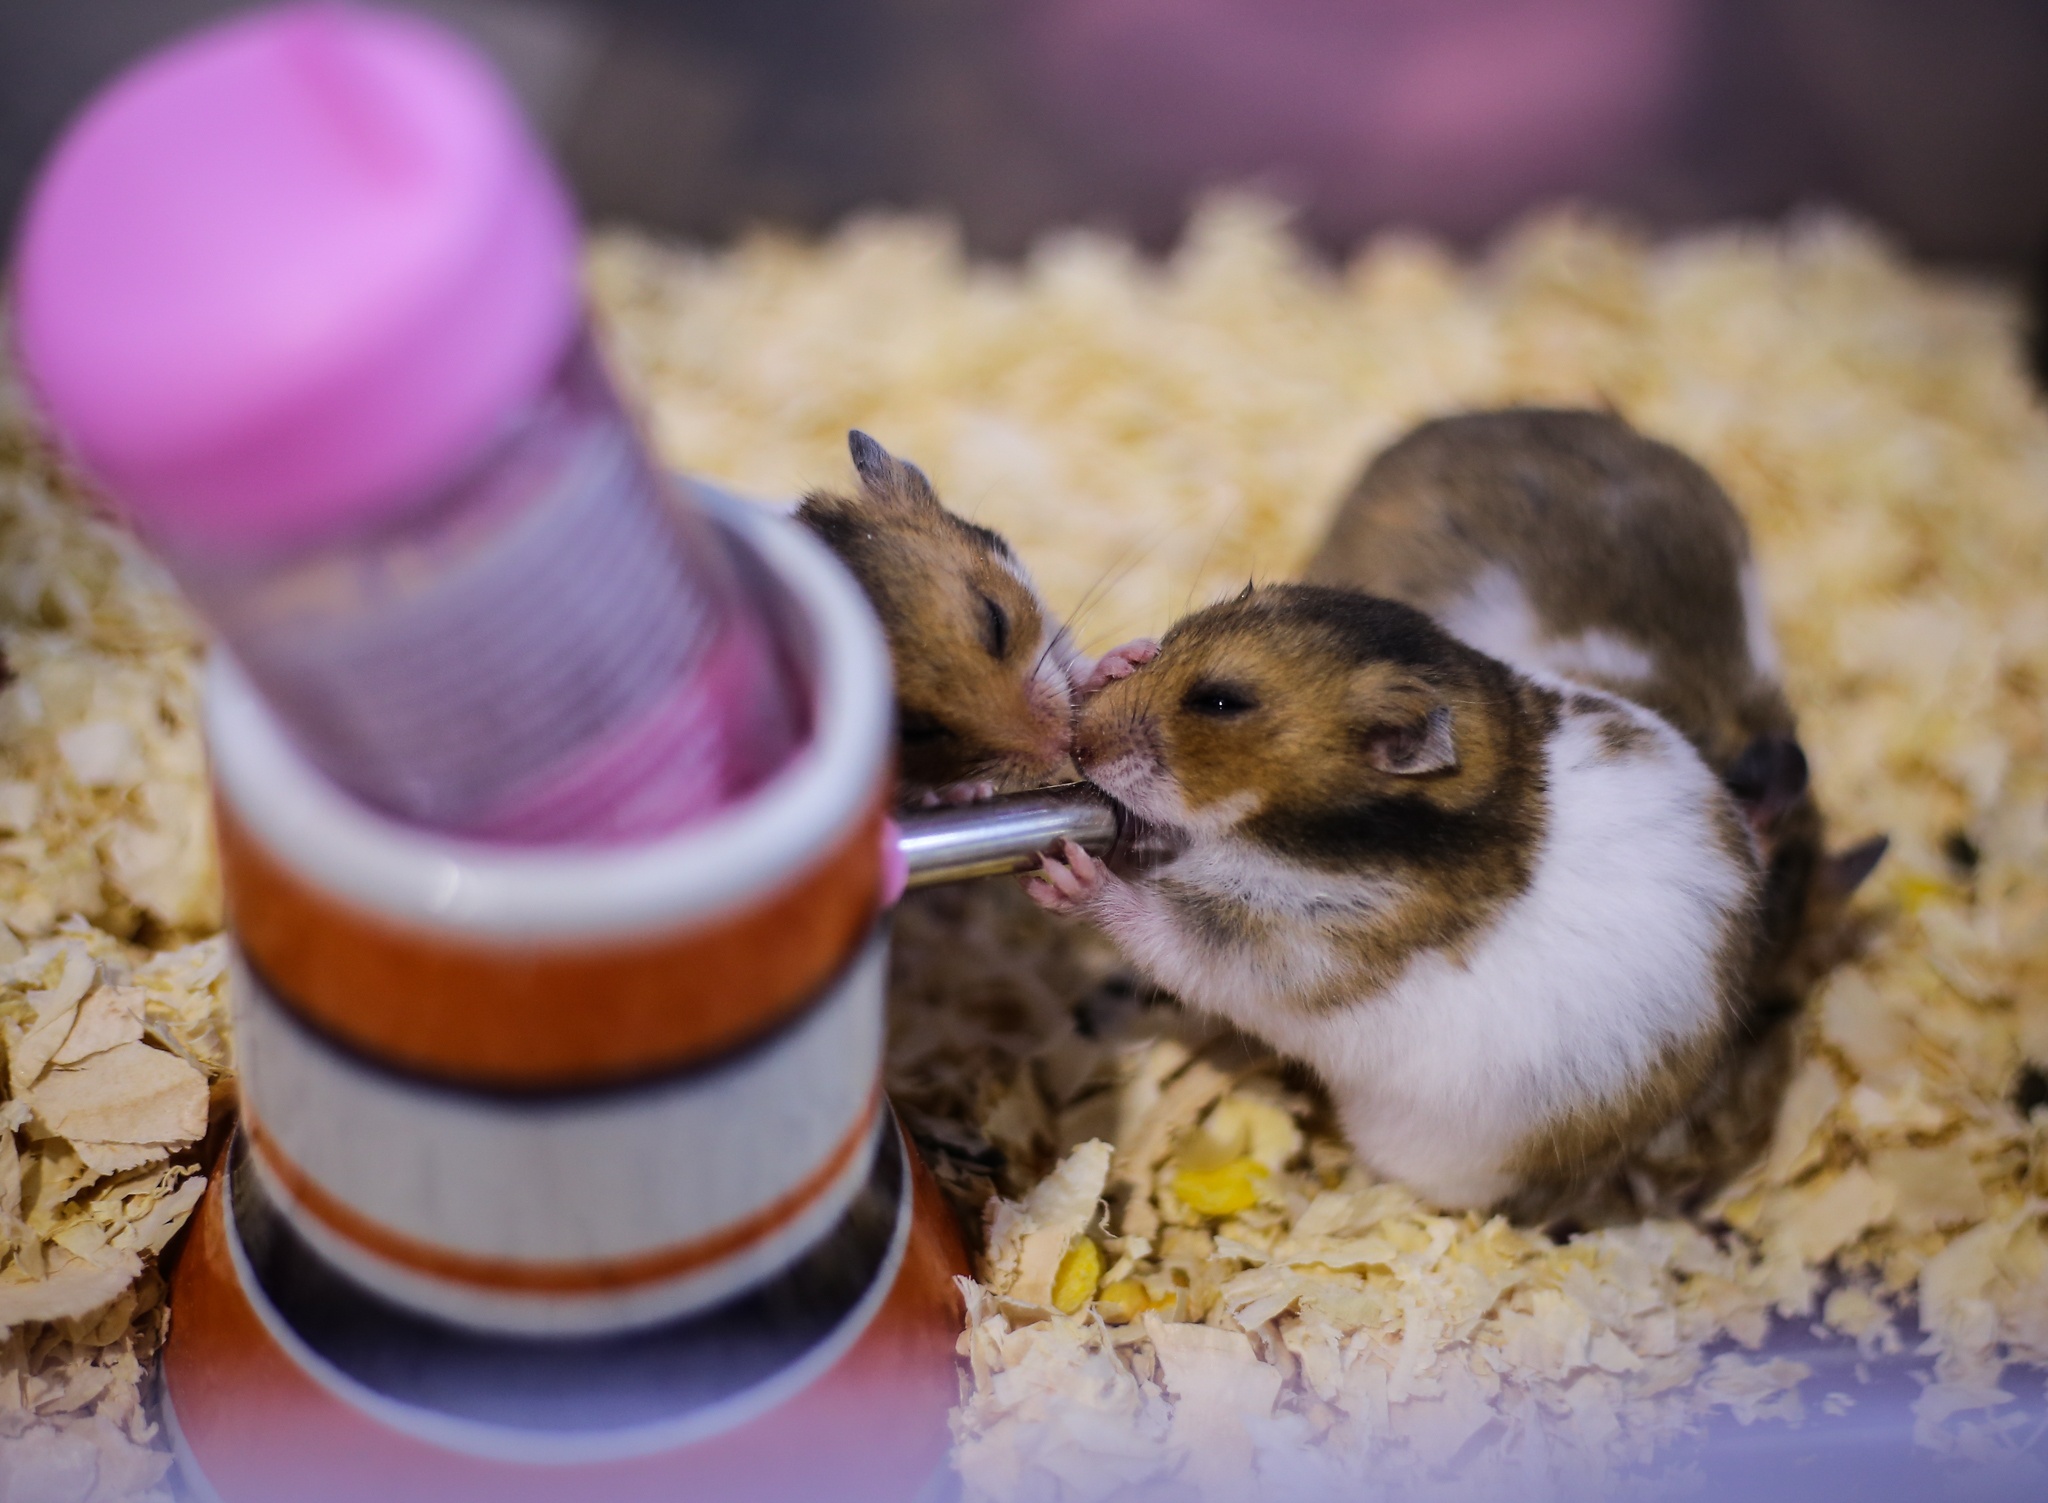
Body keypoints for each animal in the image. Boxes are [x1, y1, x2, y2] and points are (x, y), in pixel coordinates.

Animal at [1029, 583, 1763, 1217]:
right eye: (1174, 640)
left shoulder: (1282, 947)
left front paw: (1065, 877)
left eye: (1220, 703)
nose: (1079, 744)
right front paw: (1120, 659)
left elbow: (1160, 925)